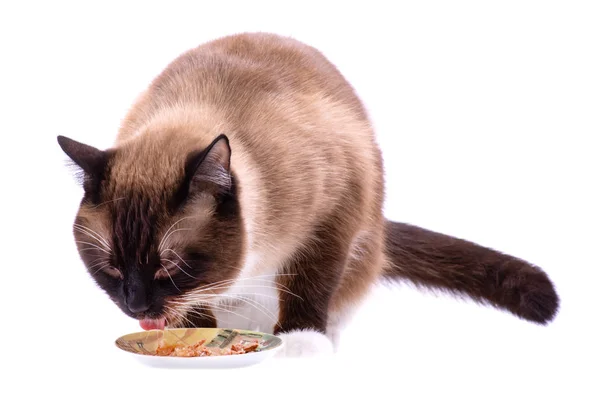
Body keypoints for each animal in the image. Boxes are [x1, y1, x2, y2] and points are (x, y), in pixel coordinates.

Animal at [58, 32, 560, 356]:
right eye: (110, 267)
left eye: (170, 266)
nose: (136, 306)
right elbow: (194, 311)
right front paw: (192, 338)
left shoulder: (332, 215)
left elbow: (310, 282)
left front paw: (301, 341)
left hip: (360, 238)